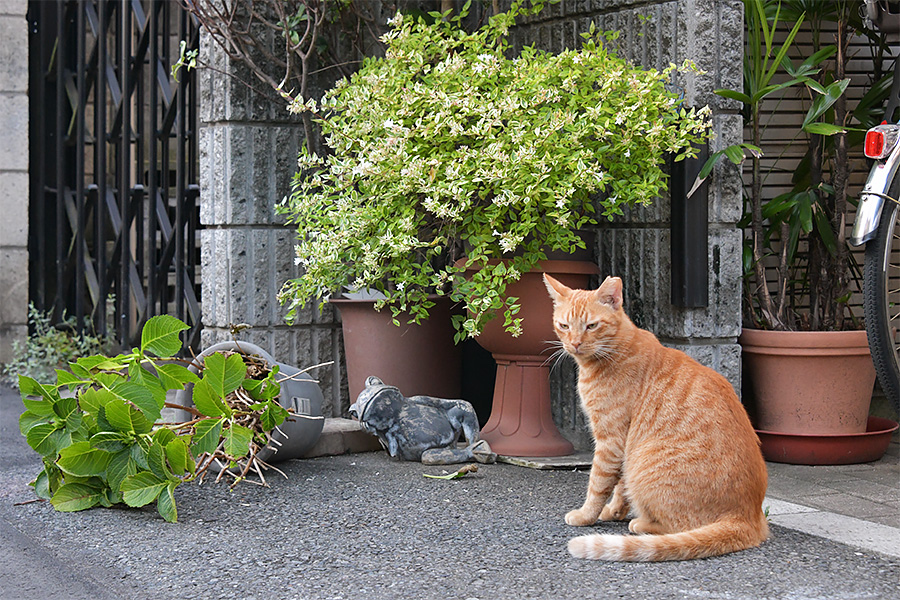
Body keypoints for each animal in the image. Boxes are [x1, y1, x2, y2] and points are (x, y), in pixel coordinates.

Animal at [540, 274, 768, 560]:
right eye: (564, 325)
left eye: (591, 325)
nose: (575, 343)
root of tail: (748, 517)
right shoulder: (623, 445)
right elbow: (620, 485)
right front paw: (614, 511)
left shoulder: (610, 440)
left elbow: (598, 483)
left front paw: (586, 515)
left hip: (644, 464)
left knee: (680, 526)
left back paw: (641, 523)